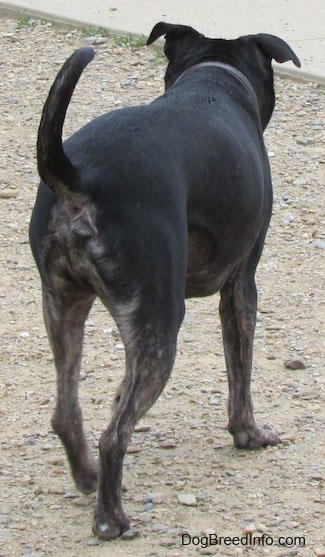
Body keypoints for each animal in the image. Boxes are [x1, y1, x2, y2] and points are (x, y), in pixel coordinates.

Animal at [29, 22, 300, 540]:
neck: (213, 77)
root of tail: (80, 176)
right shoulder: (242, 285)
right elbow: (241, 376)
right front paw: (249, 434)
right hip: (160, 323)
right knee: (113, 436)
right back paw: (111, 519)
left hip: (64, 306)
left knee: (66, 414)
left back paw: (88, 477)